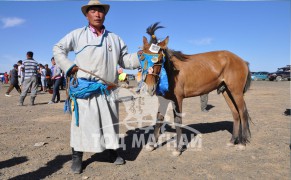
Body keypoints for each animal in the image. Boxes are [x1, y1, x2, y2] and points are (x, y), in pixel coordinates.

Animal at [140, 22, 252, 156]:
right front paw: (151, 145)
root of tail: (242, 61)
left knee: (242, 112)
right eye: (141, 56)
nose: (150, 87)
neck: (171, 72)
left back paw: (242, 143)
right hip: (226, 91)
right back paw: (232, 141)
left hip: (236, 92)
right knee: (235, 113)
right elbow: (159, 119)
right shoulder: (164, 99)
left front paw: (177, 149)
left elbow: (178, 120)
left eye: (160, 59)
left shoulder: (177, 99)